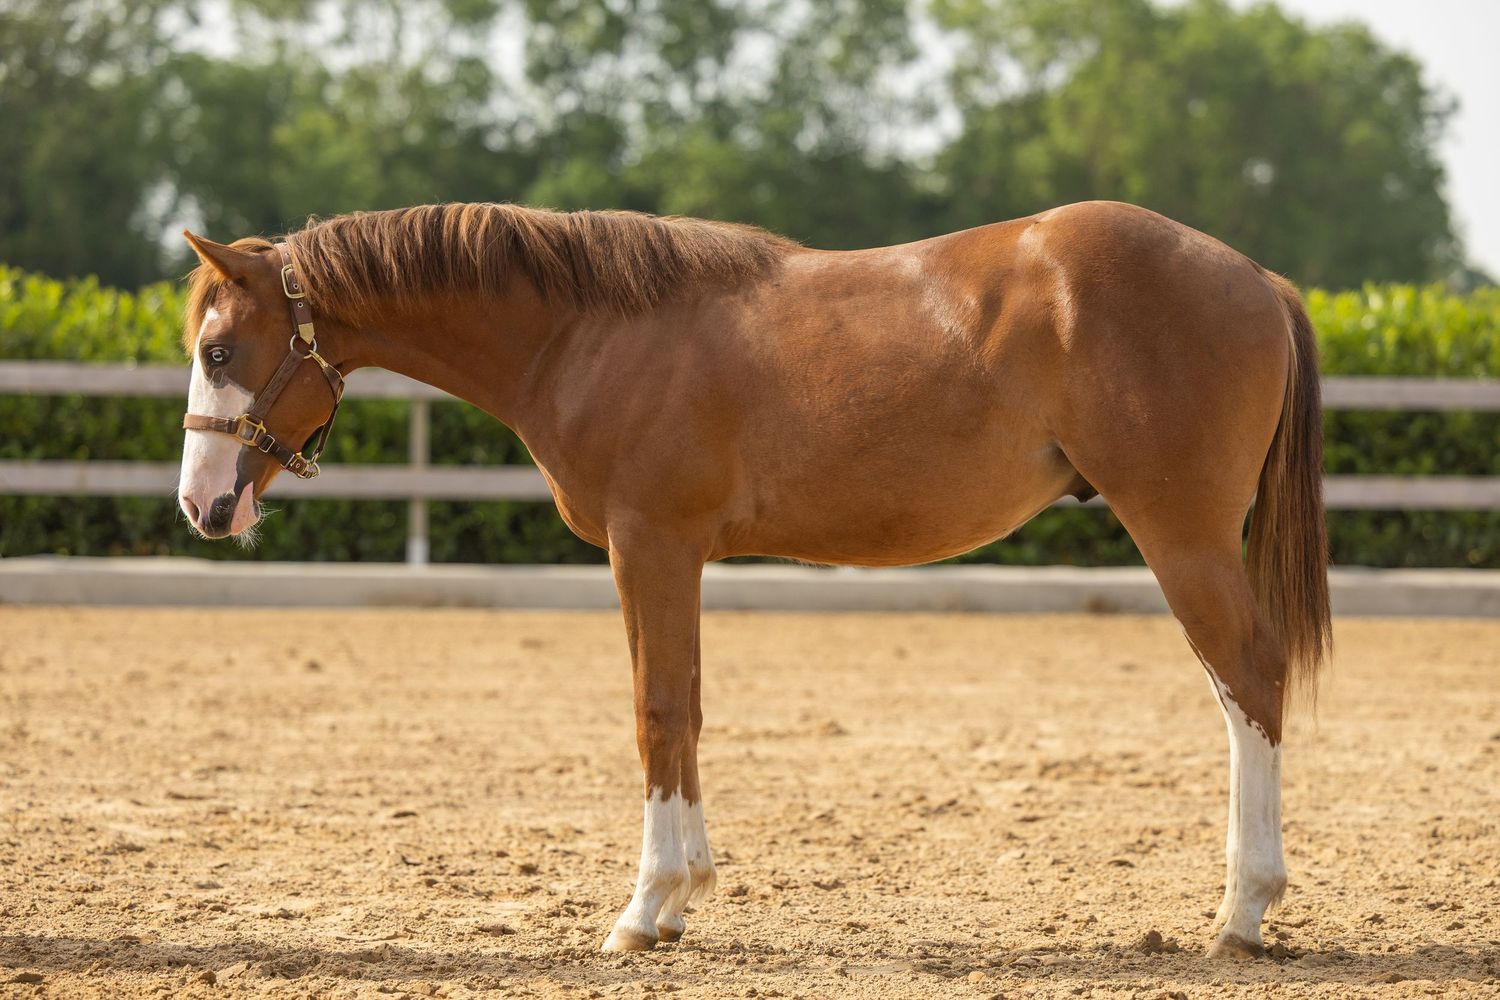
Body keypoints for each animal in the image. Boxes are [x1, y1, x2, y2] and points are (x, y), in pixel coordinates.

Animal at [175, 200, 1330, 959]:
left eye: (222, 349)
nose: (203, 506)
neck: (592, 329)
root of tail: (1255, 278)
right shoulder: (662, 557)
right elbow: (682, 711)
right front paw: (680, 899)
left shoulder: (650, 545)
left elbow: (655, 711)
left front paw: (642, 910)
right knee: (1239, 690)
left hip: (1181, 533)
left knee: (1249, 678)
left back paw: (1242, 911)